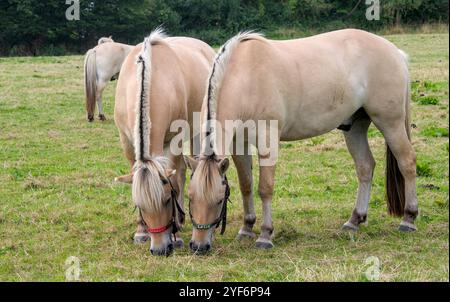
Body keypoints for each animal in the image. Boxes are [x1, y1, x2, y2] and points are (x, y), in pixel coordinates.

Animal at [115, 28, 215, 256]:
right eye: (139, 205)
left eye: (167, 199)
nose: (160, 249)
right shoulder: (127, 142)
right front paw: (141, 231)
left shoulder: (173, 140)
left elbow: (176, 181)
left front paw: (176, 231)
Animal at [185, 29, 416, 254]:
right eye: (190, 198)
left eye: (218, 200)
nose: (199, 246)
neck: (245, 77)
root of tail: (395, 52)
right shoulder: (238, 143)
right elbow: (246, 185)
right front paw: (246, 228)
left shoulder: (268, 140)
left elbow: (265, 188)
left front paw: (265, 235)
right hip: (356, 127)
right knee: (365, 167)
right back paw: (354, 220)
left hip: (390, 123)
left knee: (407, 162)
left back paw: (409, 218)